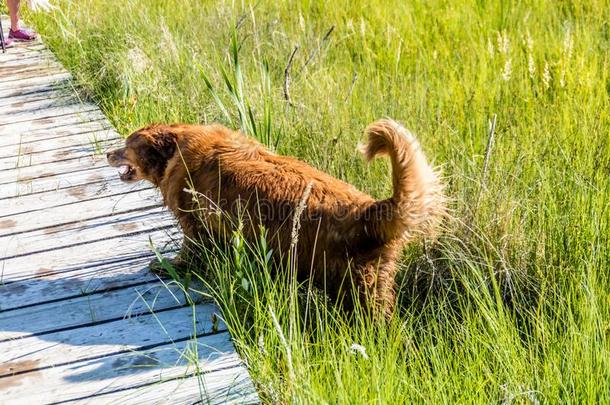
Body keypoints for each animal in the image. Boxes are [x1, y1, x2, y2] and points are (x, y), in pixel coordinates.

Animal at [107, 119, 444, 316]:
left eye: (127, 145)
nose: (108, 153)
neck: (176, 147)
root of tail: (369, 211)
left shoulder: (194, 225)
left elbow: (189, 251)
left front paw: (168, 266)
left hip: (356, 288)